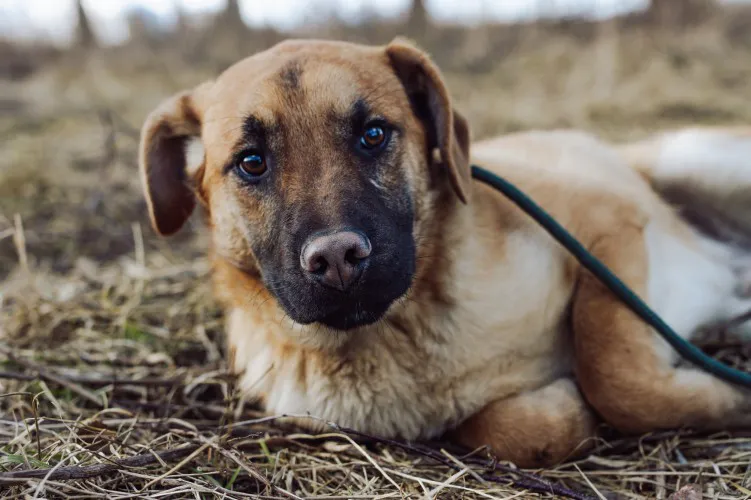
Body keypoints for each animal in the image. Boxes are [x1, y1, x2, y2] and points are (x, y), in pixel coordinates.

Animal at [138, 39, 751, 468]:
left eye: (373, 134)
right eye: (251, 162)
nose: (337, 259)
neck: (405, 332)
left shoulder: (605, 225)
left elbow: (617, 377)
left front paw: (727, 399)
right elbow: (511, 429)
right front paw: (562, 410)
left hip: (701, 163)